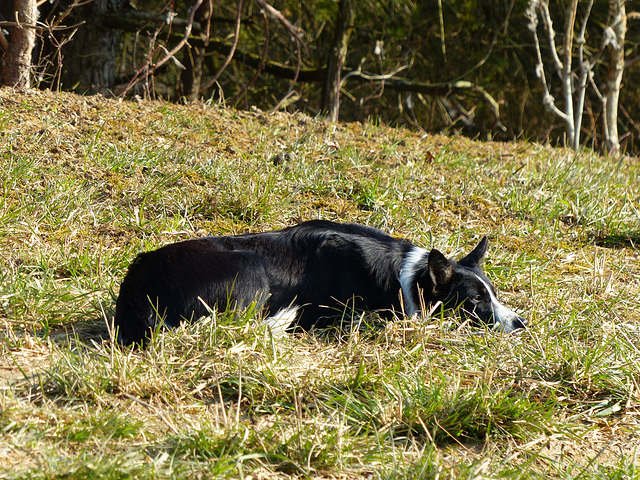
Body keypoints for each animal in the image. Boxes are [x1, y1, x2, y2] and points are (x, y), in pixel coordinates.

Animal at [115, 221, 524, 344]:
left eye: (494, 294)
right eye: (475, 302)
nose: (521, 324)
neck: (405, 275)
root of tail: (135, 289)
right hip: (249, 266)